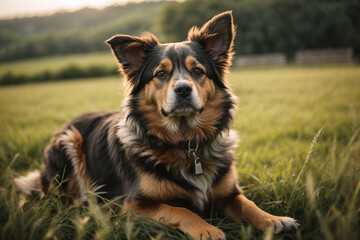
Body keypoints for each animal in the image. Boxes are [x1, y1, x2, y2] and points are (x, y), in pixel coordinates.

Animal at [14, 11, 300, 240]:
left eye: (198, 71)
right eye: (160, 74)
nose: (183, 90)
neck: (186, 143)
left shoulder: (229, 193)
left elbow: (247, 203)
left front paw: (275, 220)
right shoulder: (132, 207)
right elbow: (180, 209)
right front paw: (208, 229)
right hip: (69, 141)